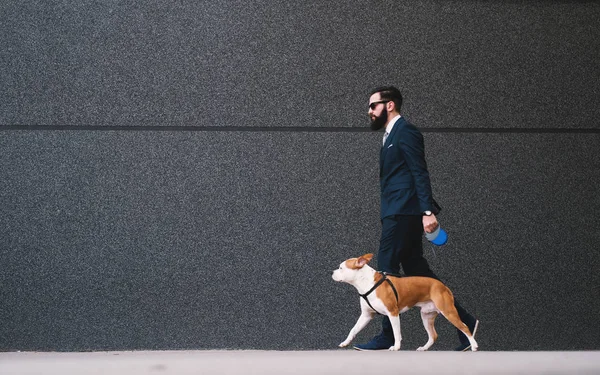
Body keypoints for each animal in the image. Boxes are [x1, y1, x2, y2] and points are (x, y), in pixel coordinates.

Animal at [332, 254, 478, 352]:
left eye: (341, 268)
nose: (332, 272)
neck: (367, 283)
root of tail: (443, 286)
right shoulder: (366, 315)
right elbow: (353, 329)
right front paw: (345, 342)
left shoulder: (393, 313)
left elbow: (396, 332)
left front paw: (396, 347)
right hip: (426, 316)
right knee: (433, 335)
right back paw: (424, 348)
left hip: (448, 311)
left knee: (464, 327)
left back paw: (473, 345)